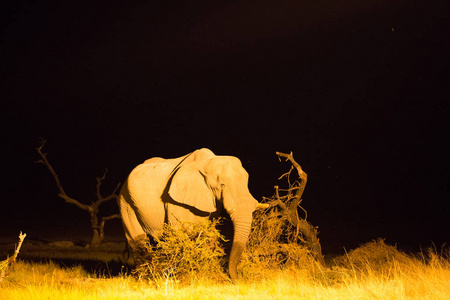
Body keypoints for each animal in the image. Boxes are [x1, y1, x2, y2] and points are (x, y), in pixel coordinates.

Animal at [118, 149, 268, 280]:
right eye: (222, 185)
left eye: (247, 183)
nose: (236, 280)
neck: (208, 162)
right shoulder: (174, 200)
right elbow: (181, 232)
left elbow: (208, 235)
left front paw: (205, 274)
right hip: (125, 202)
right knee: (138, 240)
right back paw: (142, 276)